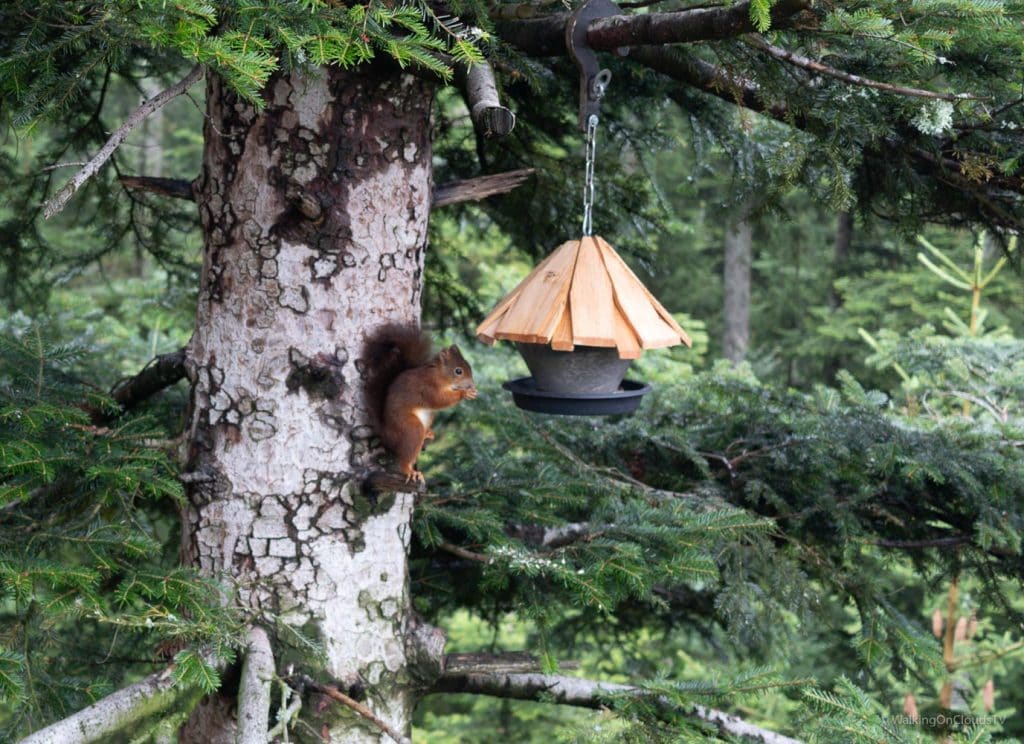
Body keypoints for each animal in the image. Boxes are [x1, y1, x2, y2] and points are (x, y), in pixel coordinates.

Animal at [362, 325, 477, 483]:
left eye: (469, 366)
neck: (439, 375)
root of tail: (386, 434)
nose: (472, 385)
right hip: (410, 428)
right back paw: (411, 472)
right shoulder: (427, 388)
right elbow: (439, 400)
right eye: (458, 371)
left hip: (427, 419)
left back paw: (428, 434)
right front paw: (464, 394)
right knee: (405, 458)